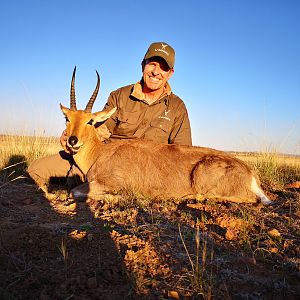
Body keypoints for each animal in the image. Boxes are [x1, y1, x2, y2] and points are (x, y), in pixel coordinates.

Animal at [60, 67, 272, 206]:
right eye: (67, 118)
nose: (72, 140)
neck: (100, 153)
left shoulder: (111, 183)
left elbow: (76, 191)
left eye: (90, 121)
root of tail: (250, 173)